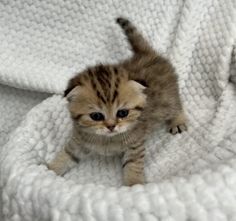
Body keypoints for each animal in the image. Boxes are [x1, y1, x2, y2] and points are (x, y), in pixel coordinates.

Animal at [48, 17, 187, 186]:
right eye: (96, 116)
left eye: (122, 113)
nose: (111, 126)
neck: (107, 139)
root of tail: (146, 54)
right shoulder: (78, 142)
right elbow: (65, 155)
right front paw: (48, 170)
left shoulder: (135, 145)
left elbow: (133, 165)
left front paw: (134, 185)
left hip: (167, 100)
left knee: (177, 105)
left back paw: (178, 121)